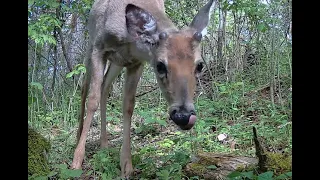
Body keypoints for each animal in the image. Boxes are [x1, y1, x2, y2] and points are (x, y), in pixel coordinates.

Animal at [72, 0, 218, 178]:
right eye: (160, 65)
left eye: (199, 65)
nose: (183, 116)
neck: (128, 39)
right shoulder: (99, 48)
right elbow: (92, 100)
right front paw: (77, 161)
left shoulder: (136, 62)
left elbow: (128, 106)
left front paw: (127, 164)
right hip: (90, 47)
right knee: (85, 88)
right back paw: (78, 137)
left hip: (117, 63)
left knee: (105, 86)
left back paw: (104, 144)